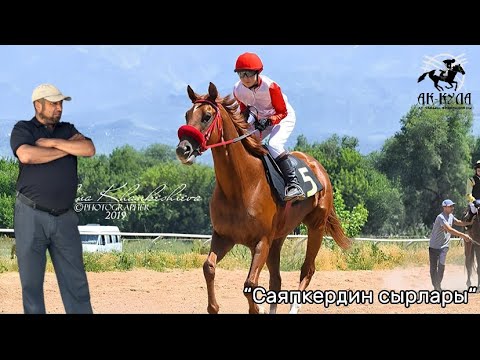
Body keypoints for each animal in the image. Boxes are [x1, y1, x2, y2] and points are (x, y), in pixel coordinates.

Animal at [174, 81, 350, 312]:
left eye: (207, 116)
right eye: (187, 114)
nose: (183, 149)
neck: (241, 187)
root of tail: (318, 167)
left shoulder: (261, 241)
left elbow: (250, 283)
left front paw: (257, 308)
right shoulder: (224, 236)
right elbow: (208, 267)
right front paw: (214, 307)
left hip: (316, 227)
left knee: (307, 269)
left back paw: (293, 308)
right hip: (279, 237)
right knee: (276, 279)